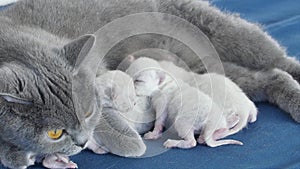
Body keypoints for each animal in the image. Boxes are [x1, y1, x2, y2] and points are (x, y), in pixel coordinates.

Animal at [0, 0, 298, 168]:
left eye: (88, 112)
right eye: (55, 132)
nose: (82, 142)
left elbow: (109, 118)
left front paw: (131, 144)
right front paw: (23, 156)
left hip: (218, 28)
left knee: (276, 60)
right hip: (205, 66)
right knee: (267, 77)